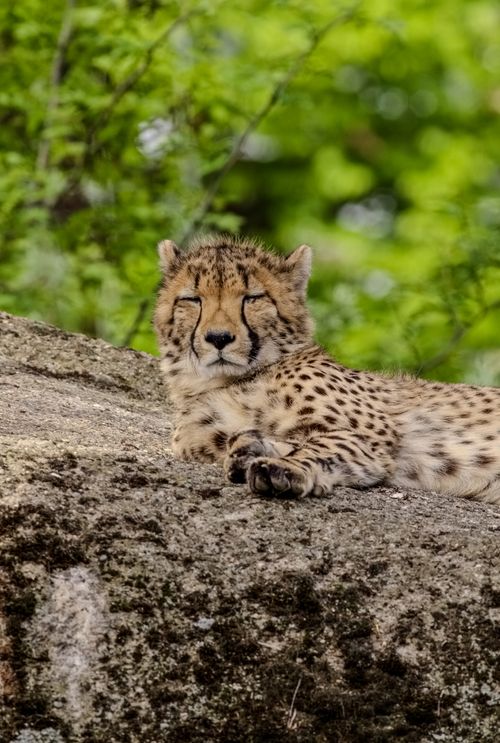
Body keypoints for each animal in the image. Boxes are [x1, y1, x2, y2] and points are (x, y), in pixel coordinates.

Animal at [154, 234, 500, 505]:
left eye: (253, 298)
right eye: (192, 299)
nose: (219, 338)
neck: (226, 381)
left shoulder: (370, 440)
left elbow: (323, 446)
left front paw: (283, 466)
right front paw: (252, 448)